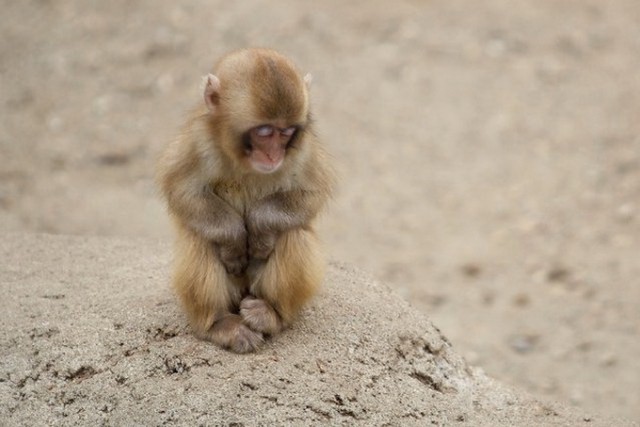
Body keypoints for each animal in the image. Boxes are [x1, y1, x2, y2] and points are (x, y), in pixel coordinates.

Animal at [158, 47, 336, 354]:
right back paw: (218, 324)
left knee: (294, 233)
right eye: (264, 132)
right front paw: (234, 241)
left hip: (255, 285)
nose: (274, 155)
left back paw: (272, 314)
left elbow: (311, 192)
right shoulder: (197, 141)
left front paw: (259, 229)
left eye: (287, 132)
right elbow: (182, 190)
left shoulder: (303, 150)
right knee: (199, 238)